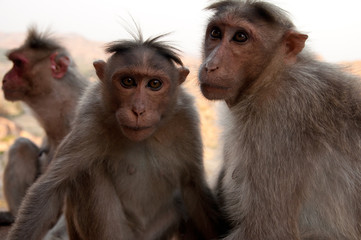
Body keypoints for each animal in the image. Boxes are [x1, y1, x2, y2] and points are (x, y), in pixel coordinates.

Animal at [198, 0, 360, 240]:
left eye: (240, 37)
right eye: (216, 33)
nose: (210, 65)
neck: (268, 79)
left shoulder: (277, 125)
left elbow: (269, 230)